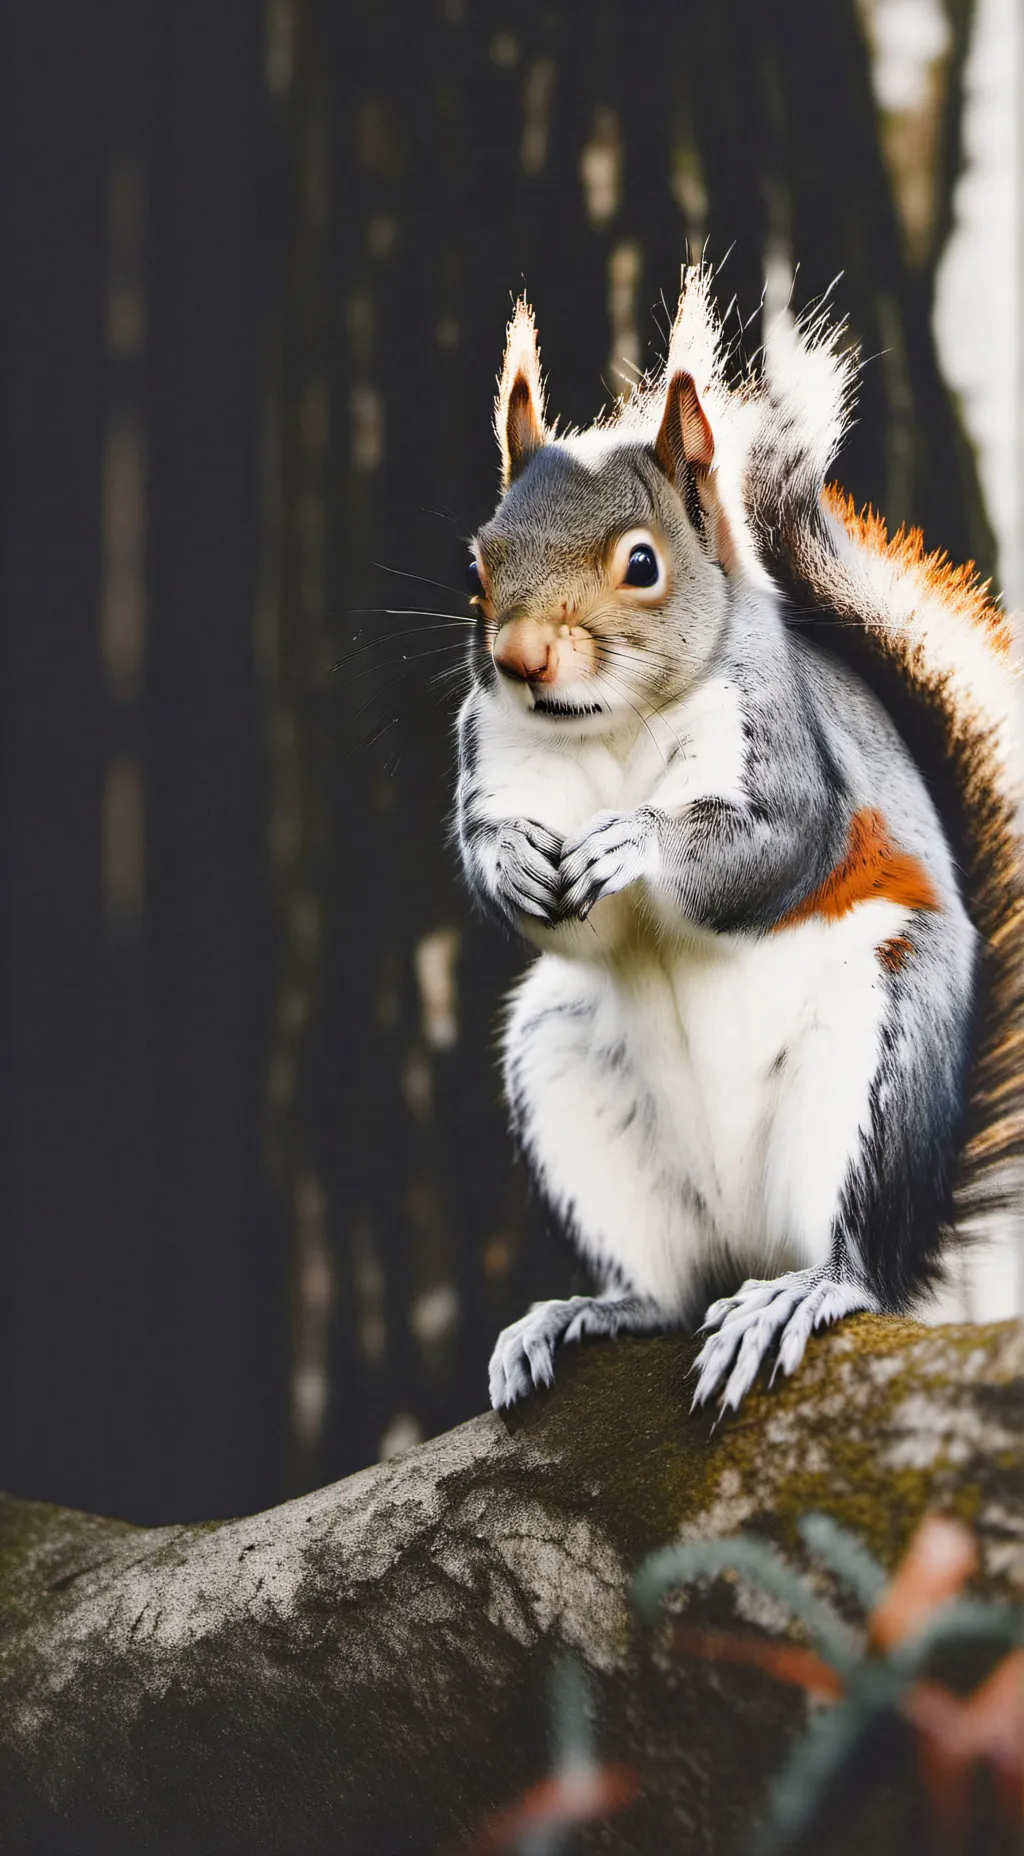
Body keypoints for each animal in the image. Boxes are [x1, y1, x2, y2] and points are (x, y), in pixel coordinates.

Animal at [454, 265, 1022, 1414]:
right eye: (477, 570)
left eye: (641, 563)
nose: (521, 656)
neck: (606, 729)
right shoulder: (494, 757)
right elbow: (511, 866)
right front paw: (513, 863)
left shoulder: (788, 755)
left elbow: (771, 851)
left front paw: (631, 841)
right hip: (567, 1069)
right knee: (670, 1287)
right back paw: (585, 1311)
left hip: (873, 1057)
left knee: (851, 1257)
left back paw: (799, 1293)